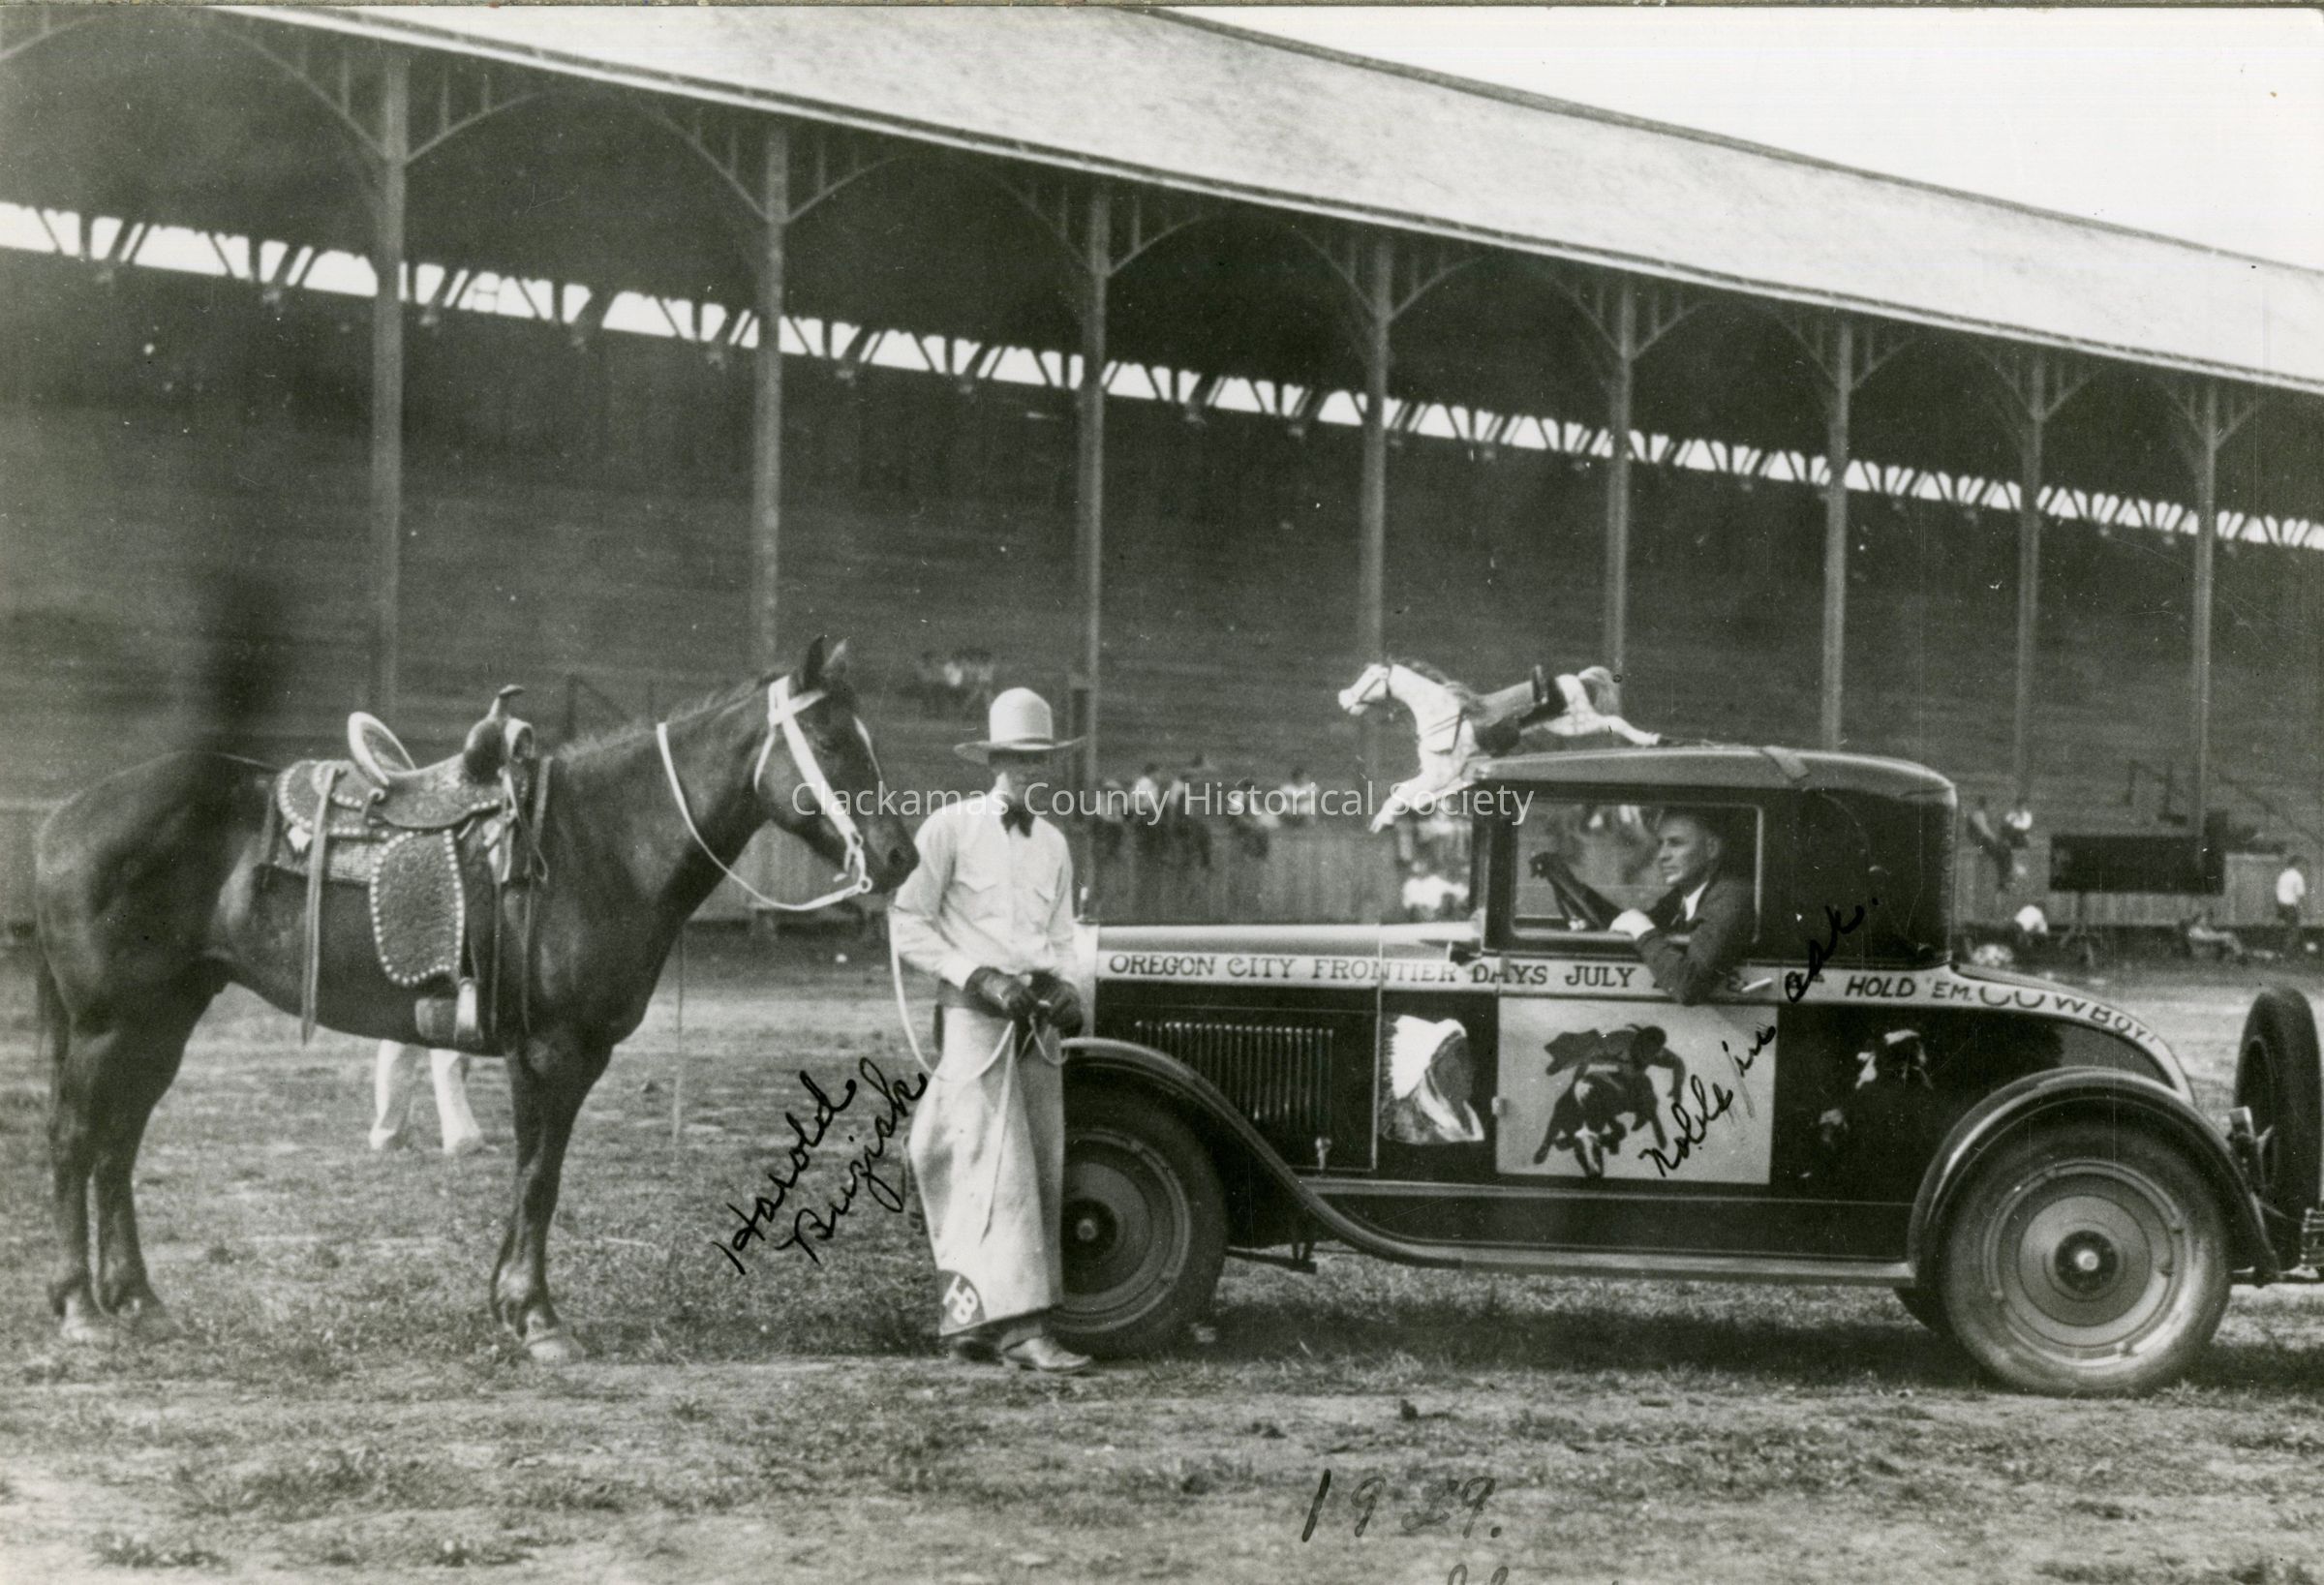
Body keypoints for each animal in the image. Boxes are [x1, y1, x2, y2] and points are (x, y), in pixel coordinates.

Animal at [32, 636, 917, 1361]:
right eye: (831, 740)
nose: (898, 855)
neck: (596, 844)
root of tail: (63, 817)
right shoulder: (551, 1051)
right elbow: (538, 1177)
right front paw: (538, 1316)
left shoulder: (570, 1055)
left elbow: (535, 1175)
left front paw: (508, 1303)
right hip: (109, 1026)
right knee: (77, 1140)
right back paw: (81, 1309)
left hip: (162, 1021)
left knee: (117, 1147)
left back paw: (139, 1301)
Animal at [1338, 659, 1661, 833]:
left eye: (1370, 678)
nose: (1344, 699)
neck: (1442, 713)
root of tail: (1577, 679)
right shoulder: (1439, 775)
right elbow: (1405, 791)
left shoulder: (1439, 774)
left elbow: (1401, 793)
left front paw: (1381, 821)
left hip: (1577, 722)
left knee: (1614, 723)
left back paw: (1653, 740)